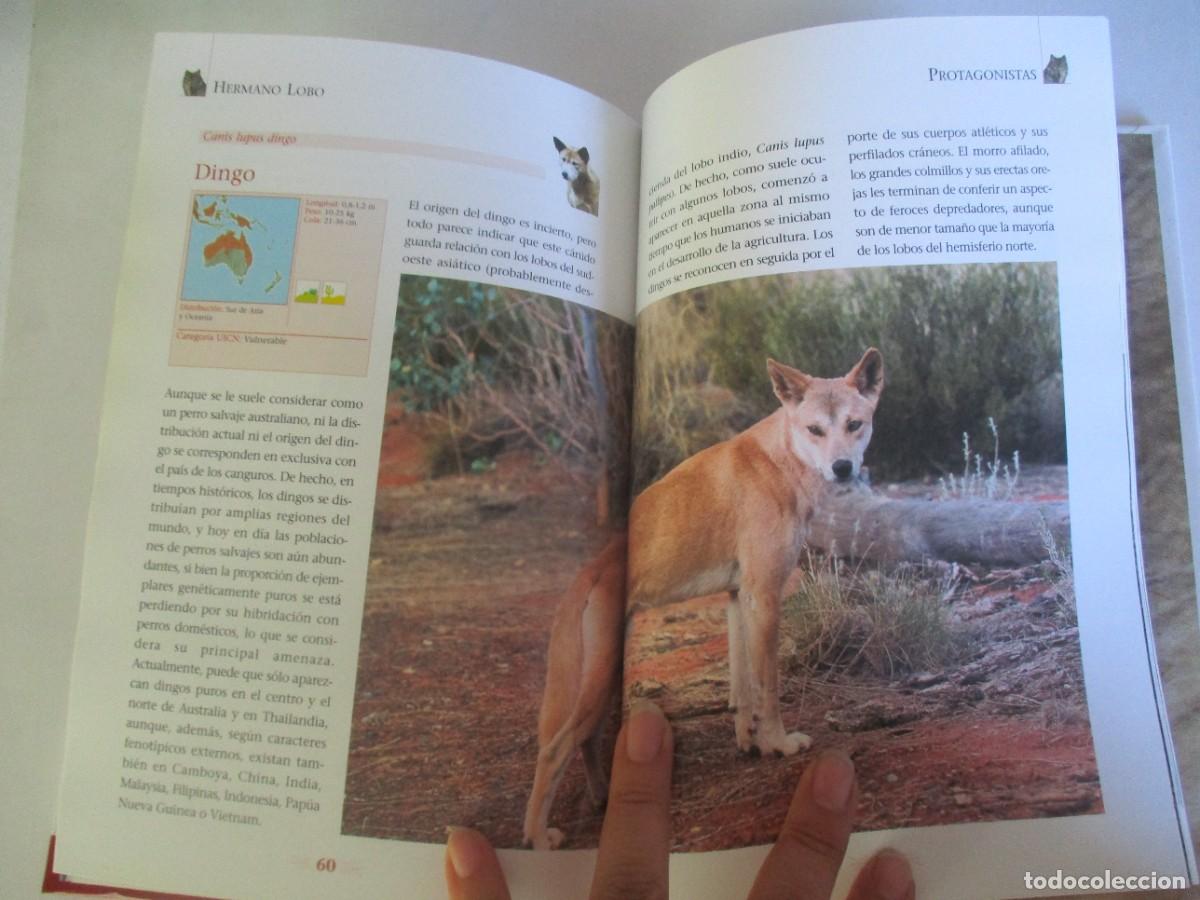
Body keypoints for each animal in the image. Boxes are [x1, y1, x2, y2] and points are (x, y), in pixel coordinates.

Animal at [523, 349, 885, 849]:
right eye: (815, 429)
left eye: (854, 424)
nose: (843, 468)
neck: (780, 463)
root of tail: (590, 571)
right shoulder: (765, 594)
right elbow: (769, 687)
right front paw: (779, 744)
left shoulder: (738, 597)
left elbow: (742, 688)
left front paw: (750, 743)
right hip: (598, 678)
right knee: (556, 748)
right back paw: (538, 836)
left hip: (603, 677)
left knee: (587, 739)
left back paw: (601, 796)